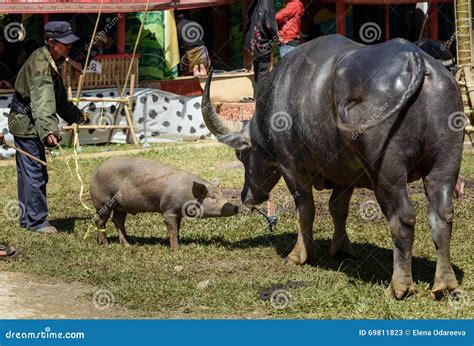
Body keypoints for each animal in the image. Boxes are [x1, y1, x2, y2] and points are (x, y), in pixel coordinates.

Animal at [89, 157, 239, 249]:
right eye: (212, 197)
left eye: (222, 194)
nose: (235, 207)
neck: (188, 194)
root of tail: (96, 170)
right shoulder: (169, 209)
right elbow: (172, 229)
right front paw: (177, 250)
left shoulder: (178, 213)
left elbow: (177, 229)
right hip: (103, 201)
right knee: (100, 220)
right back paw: (106, 245)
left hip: (121, 206)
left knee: (117, 220)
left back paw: (127, 245)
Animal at [202, 35, 464, 300]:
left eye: (241, 154)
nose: (246, 196)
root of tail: (416, 59)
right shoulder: (345, 174)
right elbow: (338, 208)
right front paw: (342, 249)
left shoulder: (290, 167)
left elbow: (305, 209)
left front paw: (299, 255)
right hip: (446, 163)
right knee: (442, 215)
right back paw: (445, 284)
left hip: (387, 172)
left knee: (403, 219)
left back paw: (398, 287)